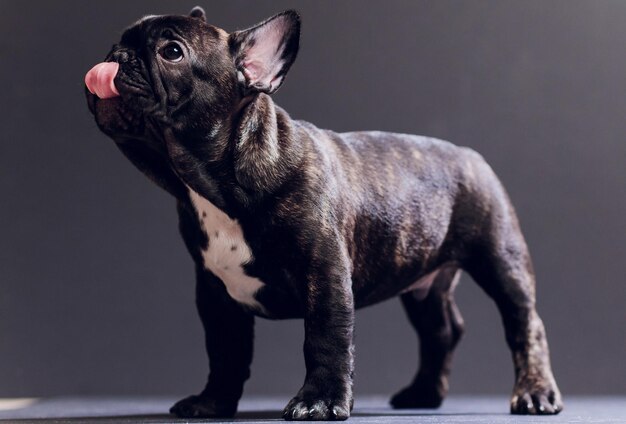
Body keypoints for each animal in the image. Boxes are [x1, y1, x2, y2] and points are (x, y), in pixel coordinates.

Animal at [85, 6, 564, 420]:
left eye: (172, 52)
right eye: (118, 42)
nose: (114, 57)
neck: (211, 184)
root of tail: (471, 155)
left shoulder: (325, 272)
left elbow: (325, 339)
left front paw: (319, 402)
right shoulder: (215, 291)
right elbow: (224, 351)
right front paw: (212, 402)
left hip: (500, 260)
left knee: (525, 324)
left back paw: (535, 394)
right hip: (421, 280)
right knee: (440, 331)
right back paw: (423, 393)